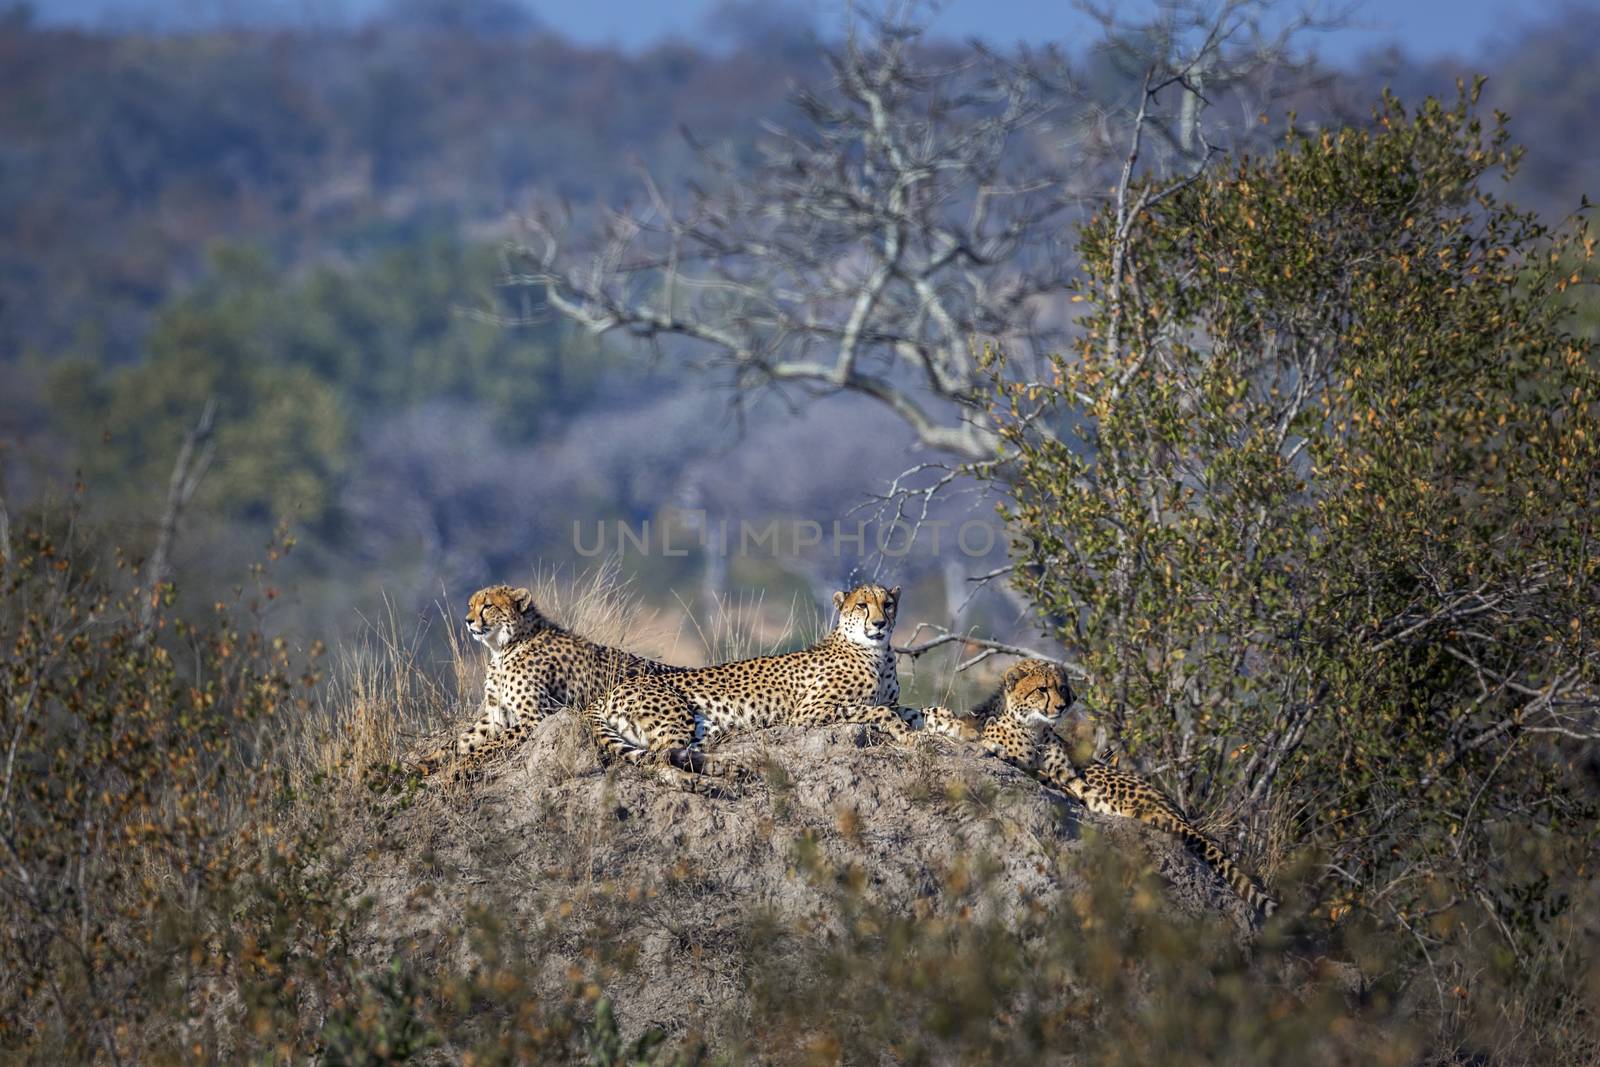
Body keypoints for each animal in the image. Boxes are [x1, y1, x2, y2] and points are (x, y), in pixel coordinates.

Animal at [406, 585, 681, 777]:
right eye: (471, 605)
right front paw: (423, 762)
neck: (504, 648)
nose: (468, 620)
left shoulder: (539, 716)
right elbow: (460, 740)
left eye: (488, 606)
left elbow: (493, 743)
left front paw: (463, 764)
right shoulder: (496, 715)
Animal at [582, 579, 966, 790]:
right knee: (657, 760)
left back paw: (728, 768)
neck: (877, 651)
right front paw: (908, 736)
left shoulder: (892, 700)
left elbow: (924, 710)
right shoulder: (809, 712)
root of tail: (607, 692)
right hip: (677, 715)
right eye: (862, 605)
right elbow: (881, 713)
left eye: (887, 604)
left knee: (680, 754)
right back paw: (699, 783)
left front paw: (962, 728)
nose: (880, 624)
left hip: (700, 729)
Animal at [972, 659, 1273, 921]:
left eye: (1061, 687)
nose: (1063, 705)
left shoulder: (1069, 774)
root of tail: (1174, 810)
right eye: (1042, 689)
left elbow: (1074, 788)